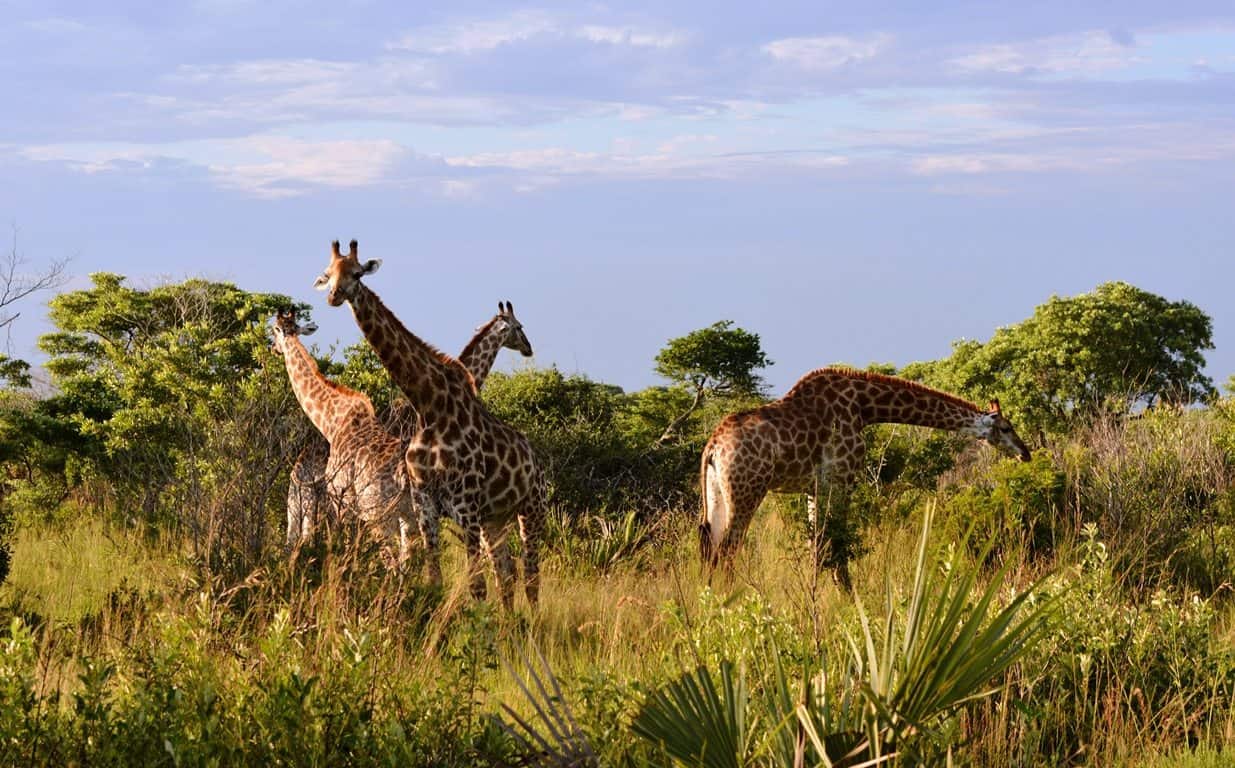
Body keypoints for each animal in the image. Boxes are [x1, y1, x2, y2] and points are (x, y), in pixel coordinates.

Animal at [269, 309, 412, 563]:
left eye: (274, 329)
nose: (272, 347)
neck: (331, 422)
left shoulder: (341, 498)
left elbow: (343, 544)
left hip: (377, 513)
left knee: (392, 561)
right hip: (413, 516)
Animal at [316, 240, 548, 614]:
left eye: (357, 273)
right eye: (328, 273)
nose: (335, 296)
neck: (429, 405)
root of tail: (538, 463)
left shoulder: (466, 505)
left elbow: (475, 586)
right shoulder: (426, 506)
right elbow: (436, 581)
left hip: (531, 508)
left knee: (529, 573)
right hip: (493, 518)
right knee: (507, 570)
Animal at [696, 367, 1032, 590]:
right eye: (1006, 427)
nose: (1025, 453)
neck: (865, 406)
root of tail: (712, 448)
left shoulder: (815, 486)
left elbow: (816, 545)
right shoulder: (841, 477)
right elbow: (834, 544)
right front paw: (846, 597)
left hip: (716, 493)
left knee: (710, 547)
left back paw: (710, 599)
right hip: (749, 489)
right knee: (728, 548)